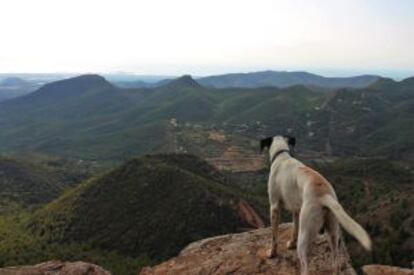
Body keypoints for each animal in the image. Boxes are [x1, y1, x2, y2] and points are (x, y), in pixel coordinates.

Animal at [260, 136, 370, 275]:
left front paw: (272, 253)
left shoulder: (274, 207)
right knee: (336, 261)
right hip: (332, 232)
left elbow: (274, 235)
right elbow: (294, 229)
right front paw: (291, 244)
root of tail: (324, 196)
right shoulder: (296, 211)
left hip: (305, 234)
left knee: (305, 266)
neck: (282, 156)